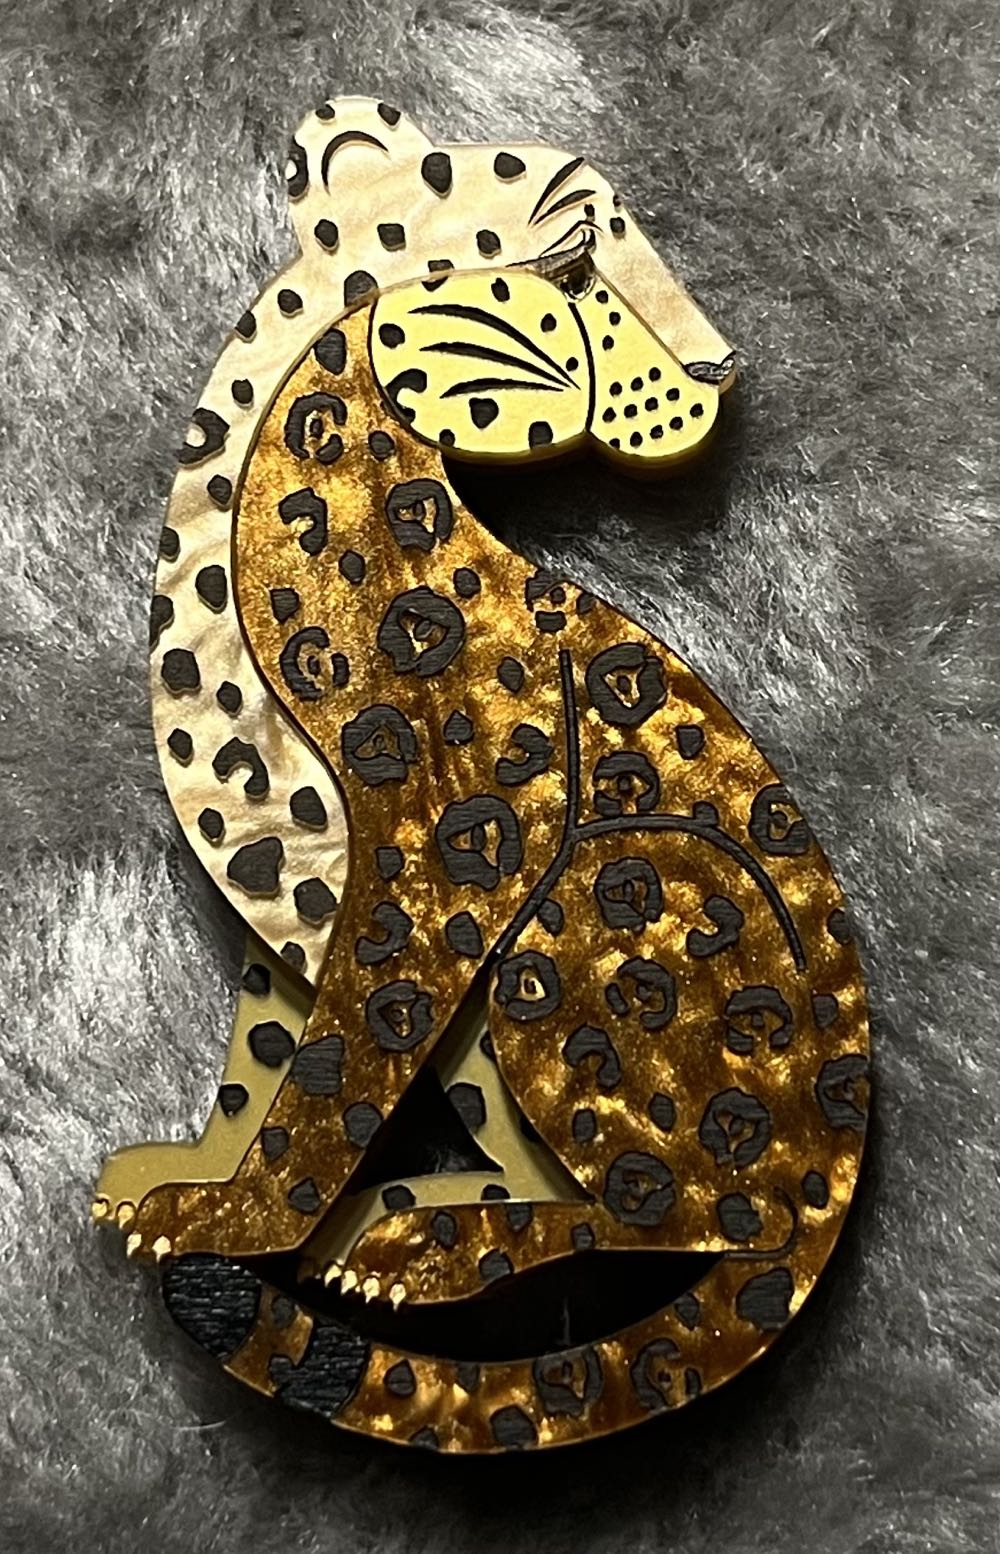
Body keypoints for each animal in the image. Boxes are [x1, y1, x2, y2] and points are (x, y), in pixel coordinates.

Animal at [93, 97, 869, 1454]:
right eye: (578, 255)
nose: (723, 371)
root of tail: (837, 1166)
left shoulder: (445, 853)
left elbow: (338, 1077)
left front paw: (247, 1224)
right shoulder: (290, 890)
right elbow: (263, 1062)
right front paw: (191, 1179)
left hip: (591, 895)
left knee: (694, 1219)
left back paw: (431, 1246)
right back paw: (427, 1207)